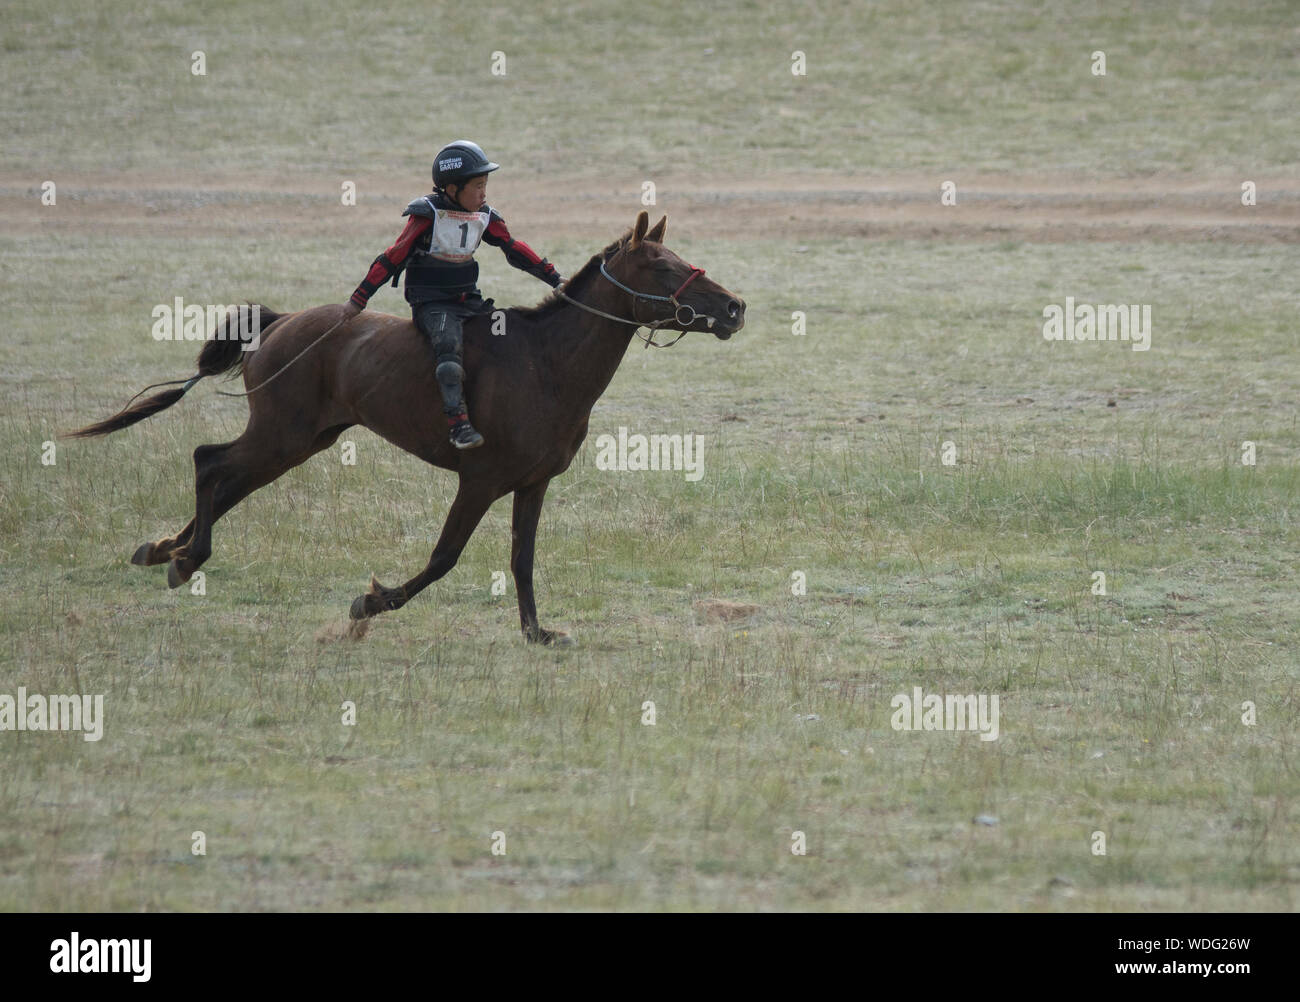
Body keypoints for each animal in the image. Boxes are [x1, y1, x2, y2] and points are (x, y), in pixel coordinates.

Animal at [68, 214, 743, 647]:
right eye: (660, 266)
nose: (735, 308)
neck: (546, 363)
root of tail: (281, 324)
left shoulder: (533, 484)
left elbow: (522, 558)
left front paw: (536, 632)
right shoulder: (480, 480)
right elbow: (445, 557)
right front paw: (370, 602)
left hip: (302, 441)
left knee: (227, 481)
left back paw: (165, 550)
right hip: (282, 436)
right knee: (210, 462)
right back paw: (185, 559)